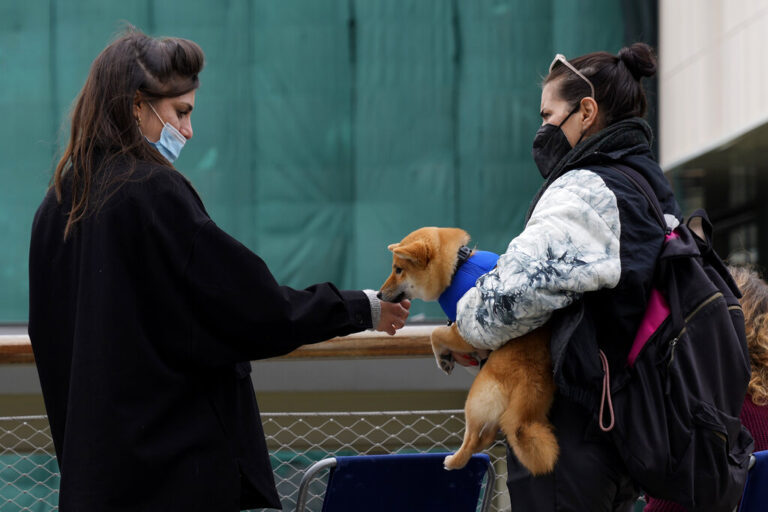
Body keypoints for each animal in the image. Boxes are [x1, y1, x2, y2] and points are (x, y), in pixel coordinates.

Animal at [378, 226, 560, 474]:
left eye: (398, 270)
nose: (378, 295)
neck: (459, 265)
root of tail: (528, 384)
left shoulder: (465, 330)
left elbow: (436, 333)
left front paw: (443, 358)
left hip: (475, 400)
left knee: (474, 438)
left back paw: (453, 461)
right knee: (487, 436)